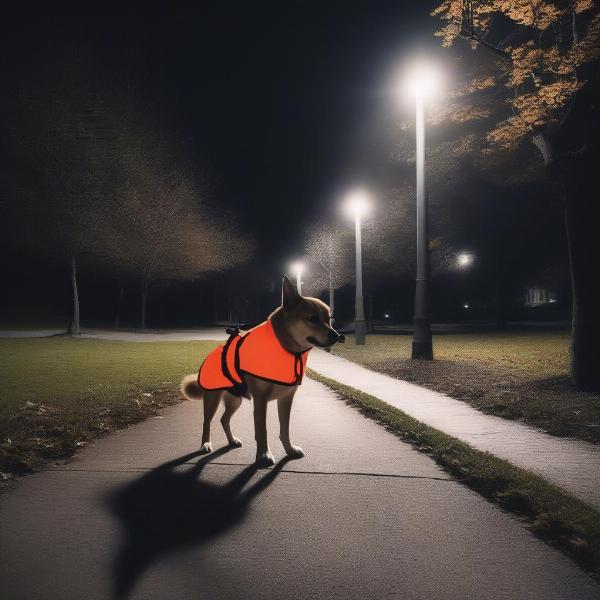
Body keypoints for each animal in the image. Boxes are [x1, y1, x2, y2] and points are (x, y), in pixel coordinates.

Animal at [179, 276, 342, 468]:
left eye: (329, 318)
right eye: (312, 318)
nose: (338, 336)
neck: (285, 348)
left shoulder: (286, 398)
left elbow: (285, 428)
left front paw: (289, 449)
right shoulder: (260, 399)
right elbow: (262, 430)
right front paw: (264, 454)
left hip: (235, 400)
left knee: (224, 419)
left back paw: (231, 440)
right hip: (213, 399)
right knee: (207, 422)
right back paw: (205, 444)